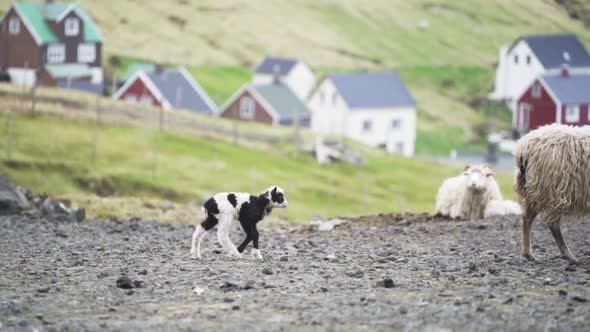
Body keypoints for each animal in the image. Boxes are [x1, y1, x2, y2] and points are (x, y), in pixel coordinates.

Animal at [516, 123, 588, 264]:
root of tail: (524, 145)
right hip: (554, 189)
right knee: (553, 223)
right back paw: (568, 255)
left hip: (537, 189)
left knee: (527, 217)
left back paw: (528, 254)